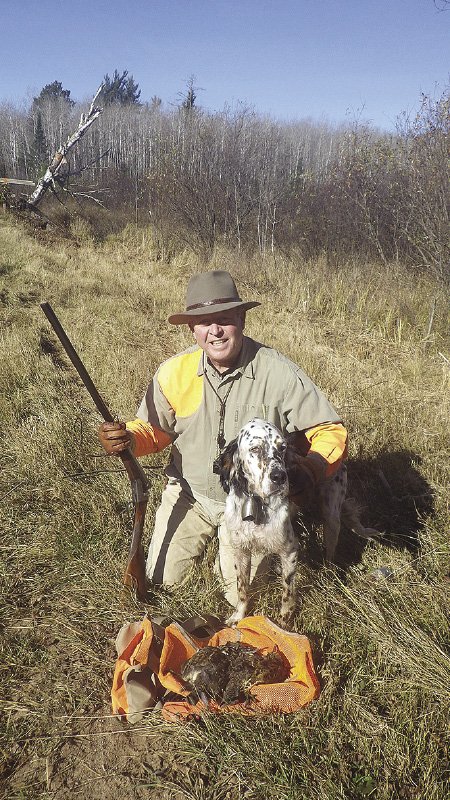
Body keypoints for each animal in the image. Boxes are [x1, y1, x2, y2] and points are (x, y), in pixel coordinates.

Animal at [214, 416, 380, 628]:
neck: (258, 502)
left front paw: (282, 625)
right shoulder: (241, 550)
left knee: (330, 554)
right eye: (255, 449)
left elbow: (287, 593)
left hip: (331, 516)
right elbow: (242, 589)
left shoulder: (289, 551)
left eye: (282, 448)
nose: (279, 477)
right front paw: (238, 616)